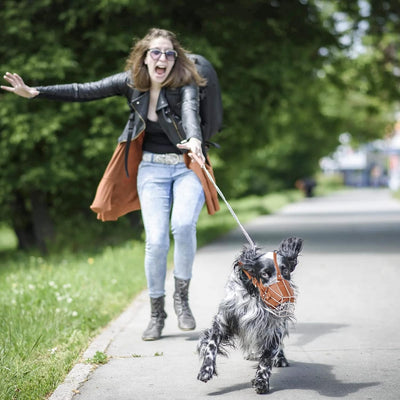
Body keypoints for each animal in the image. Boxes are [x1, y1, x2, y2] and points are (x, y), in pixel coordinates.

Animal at [197, 238, 304, 394]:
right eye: (265, 274)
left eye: (285, 270)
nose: (283, 298)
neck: (256, 298)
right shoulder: (223, 321)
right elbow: (211, 346)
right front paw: (206, 370)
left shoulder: (273, 330)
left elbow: (266, 359)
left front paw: (261, 381)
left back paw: (280, 358)